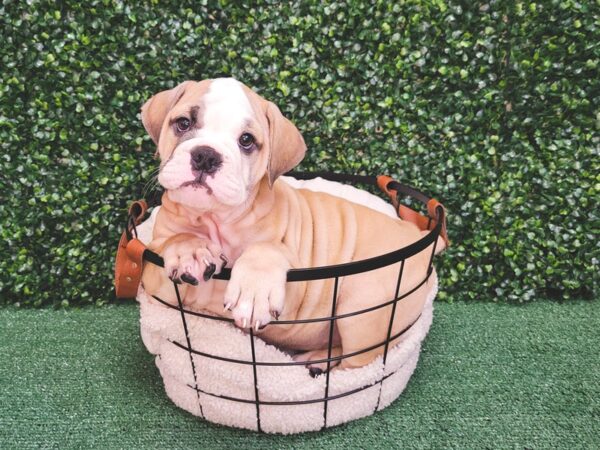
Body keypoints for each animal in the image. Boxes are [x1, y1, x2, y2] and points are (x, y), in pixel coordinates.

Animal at [141, 78, 440, 372]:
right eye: (183, 123)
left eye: (246, 141)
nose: (206, 156)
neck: (214, 218)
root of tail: (418, 234)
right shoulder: (157, 286)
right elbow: (174, 242)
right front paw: (190, 250)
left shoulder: (296, 299)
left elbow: (267, 249)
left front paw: (254, 289)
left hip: (362, 311)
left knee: (356, 365)